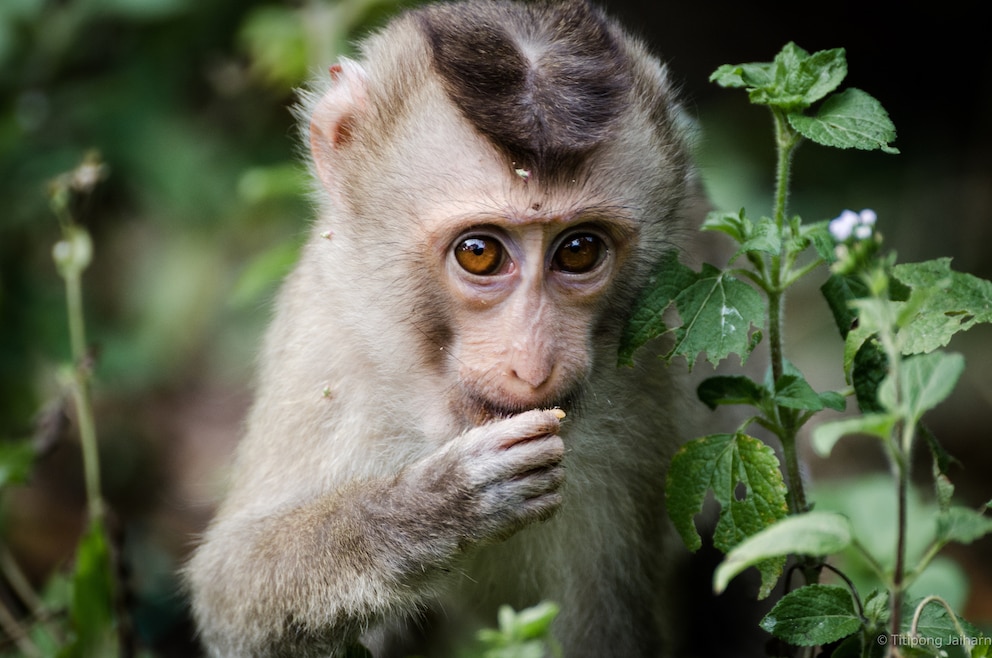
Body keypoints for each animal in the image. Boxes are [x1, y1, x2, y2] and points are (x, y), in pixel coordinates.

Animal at [184, 2, 696, 652]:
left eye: (579, 250)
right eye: (479, 253)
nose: (533, 364)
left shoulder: (651, 376)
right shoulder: (324, 334)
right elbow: (229, 585)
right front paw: (437, 506)